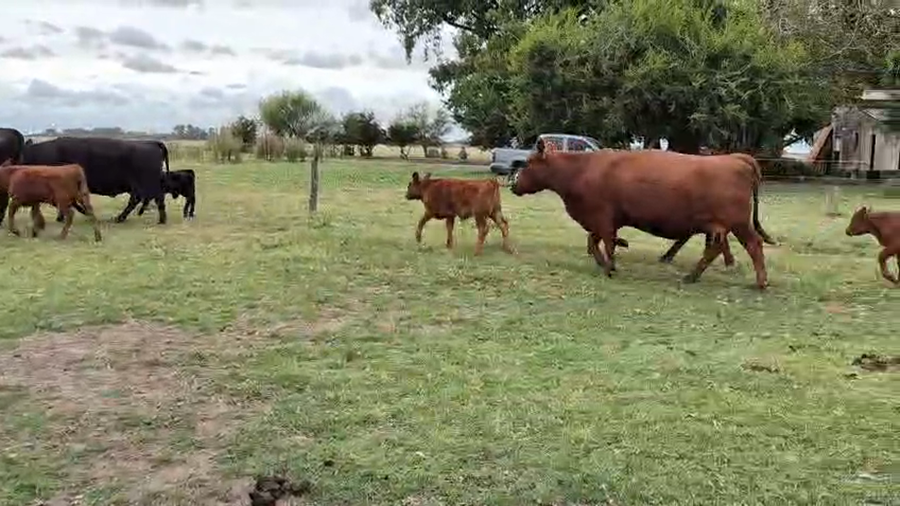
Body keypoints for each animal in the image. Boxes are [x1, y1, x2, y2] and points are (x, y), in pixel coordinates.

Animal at [510, 139, 770, 289]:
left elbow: (605, 242)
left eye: (528, 162)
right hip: (719, 226)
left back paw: (761, 282)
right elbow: (595, 241)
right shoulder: (606, 220)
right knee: (714, 249)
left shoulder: (602, 217)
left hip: (738, 223)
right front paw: (606, 261)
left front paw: (609, 267)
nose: (513, 184)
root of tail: (737, 158)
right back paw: (692, 276)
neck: (580, 169)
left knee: (753, 244)